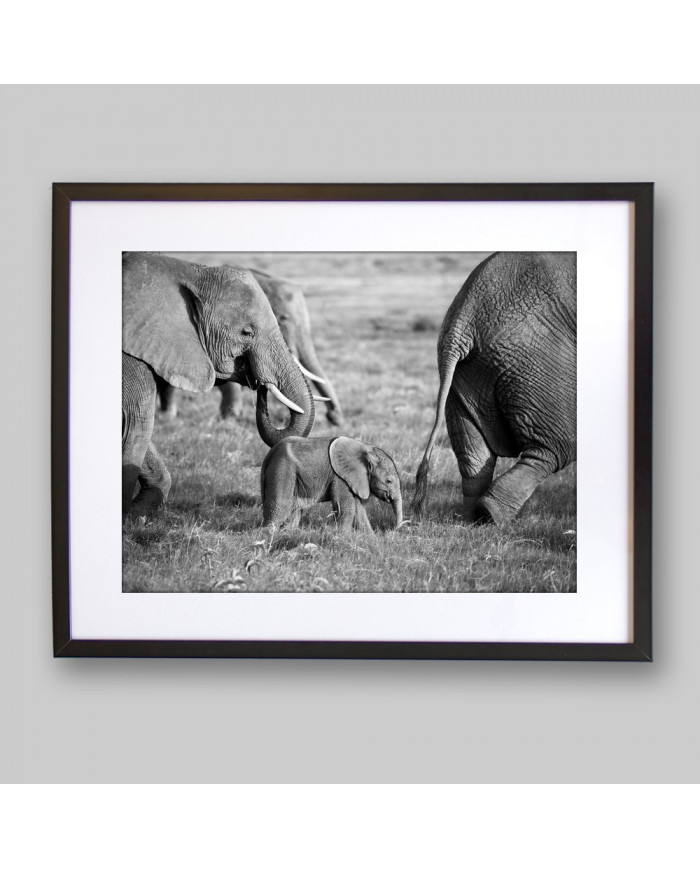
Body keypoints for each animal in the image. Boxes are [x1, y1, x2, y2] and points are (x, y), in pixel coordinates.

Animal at [122, 252, 315, 517]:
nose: (260, 386)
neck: (185, 270)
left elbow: (137, 425)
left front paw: (138, 515)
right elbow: (136, 421)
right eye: (247, 332)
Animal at [261, 436, 403, 533]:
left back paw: (287, 533)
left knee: (294, 510)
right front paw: (343, 536)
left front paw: (371, 539)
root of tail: (269, 454)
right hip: (282, 469)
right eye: (389, 481)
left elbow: (359, 510)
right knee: (281, 506)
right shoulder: (340, 477)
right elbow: (346, 507)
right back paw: (269, 535)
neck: (366, 448)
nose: (394, 530)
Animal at [413, 251, 576, 525]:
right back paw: (491, 515)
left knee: (473, 454)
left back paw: (472, 518)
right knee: (555, 447)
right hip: (535, 358)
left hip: (468, 372)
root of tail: (463, 320)